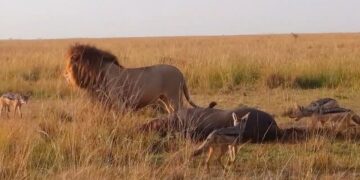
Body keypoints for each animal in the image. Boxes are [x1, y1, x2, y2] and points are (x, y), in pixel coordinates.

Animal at [64, 44, 200, 112]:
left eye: (69, 62)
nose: (64, 74)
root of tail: (181, 73)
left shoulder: (119, 102)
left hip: (174, 97)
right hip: (165, 99)